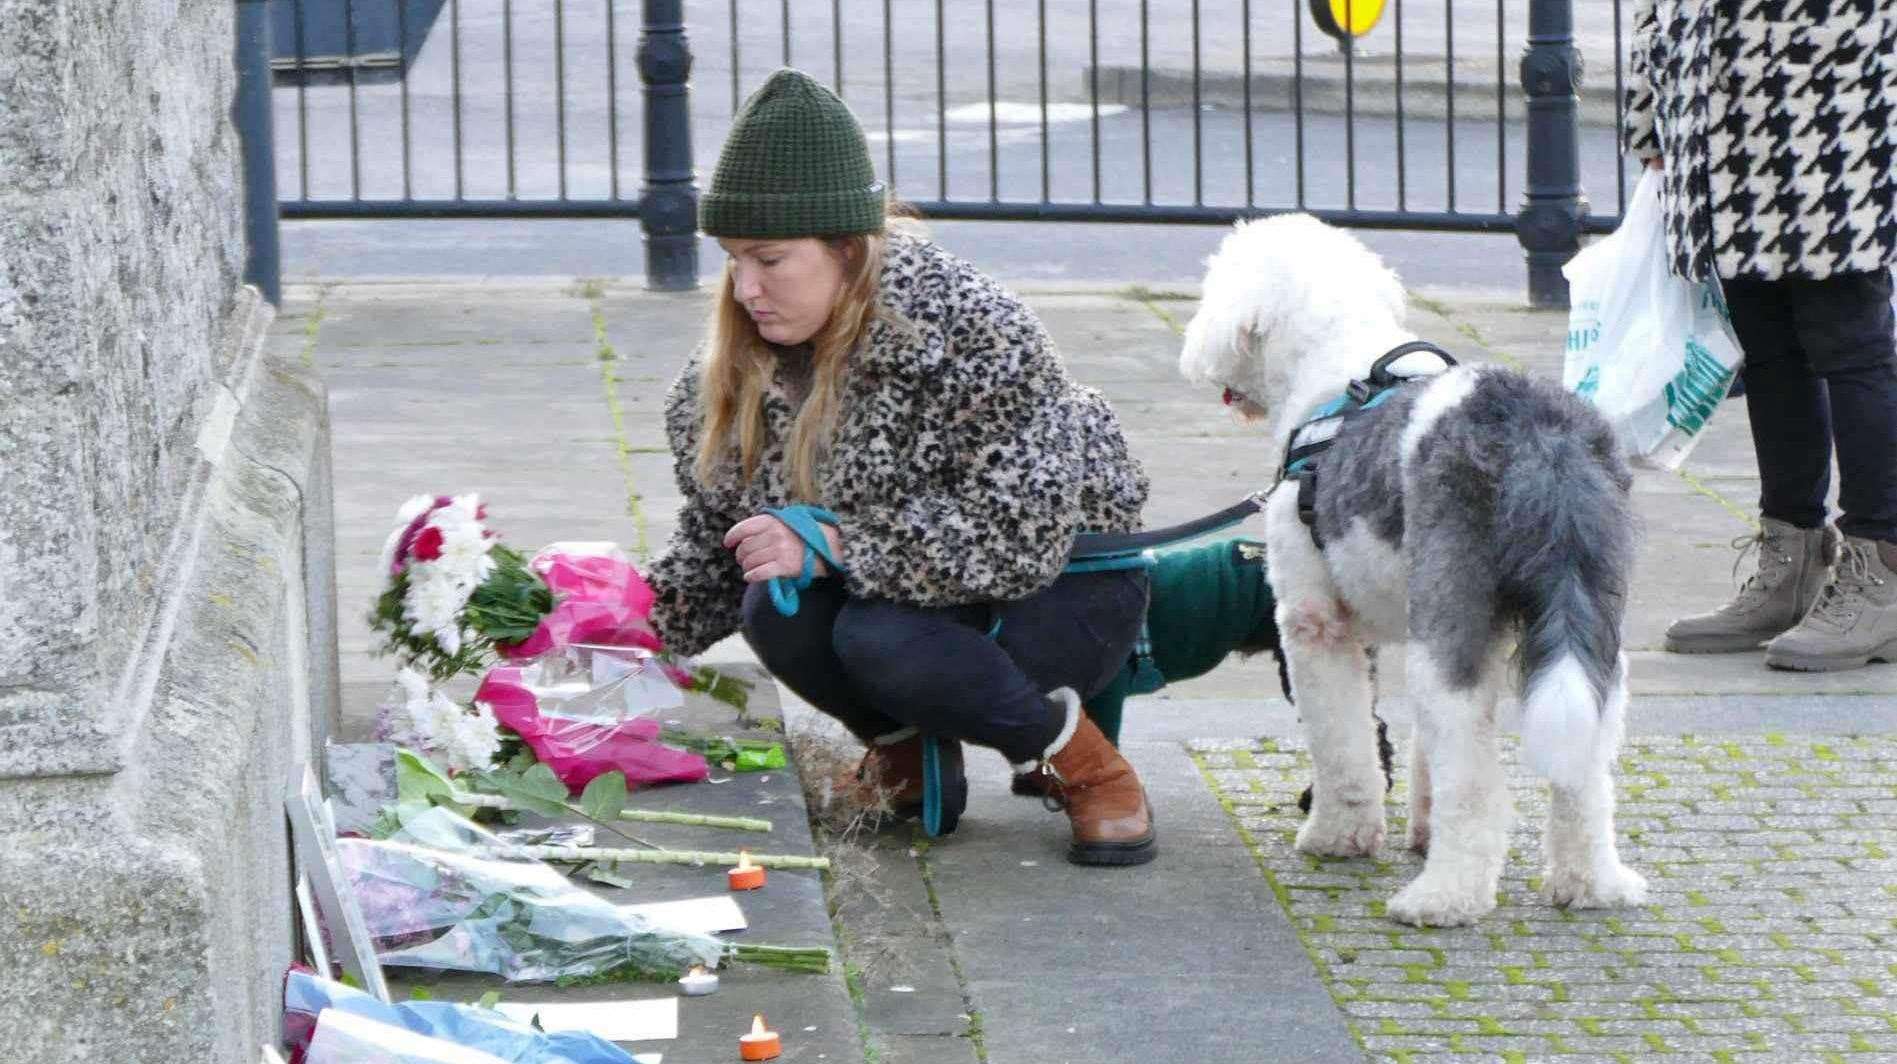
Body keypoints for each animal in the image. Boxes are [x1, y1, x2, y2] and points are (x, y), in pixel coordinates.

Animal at [1176, 213, 1654, 921]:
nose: (1197, 358)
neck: (1335, 367)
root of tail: (1538, 434)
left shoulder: (1316, 625)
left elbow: (1344, 743)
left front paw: (1338, 835)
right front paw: (1420, 830)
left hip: (1452, 629)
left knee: (1476, 782)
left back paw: (1444, 897)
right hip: (1586, 618)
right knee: (1583, 763)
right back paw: (1591, 884)